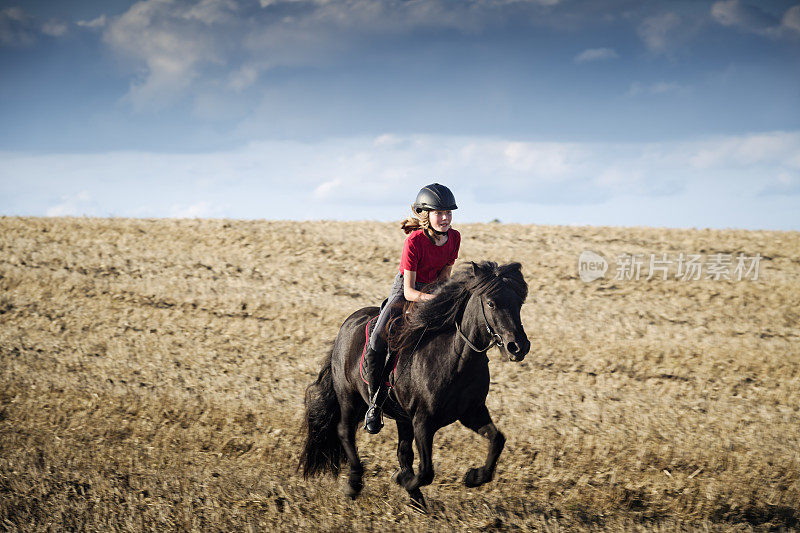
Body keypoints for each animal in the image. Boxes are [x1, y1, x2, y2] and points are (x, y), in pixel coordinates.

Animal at [296, 262, 528, 512]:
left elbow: (497, 440)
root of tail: (347, 324)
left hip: (401, 416)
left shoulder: (471, 413)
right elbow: (426, 471)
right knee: (345, 431)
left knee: (402, 452)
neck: (456, 358)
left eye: (519, 302)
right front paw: (403, 480)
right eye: (491, 303)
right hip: (349, 397)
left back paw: (415, 498)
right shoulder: (423, 422)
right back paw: (354, 485)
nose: (518, 347)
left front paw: (474, 477)